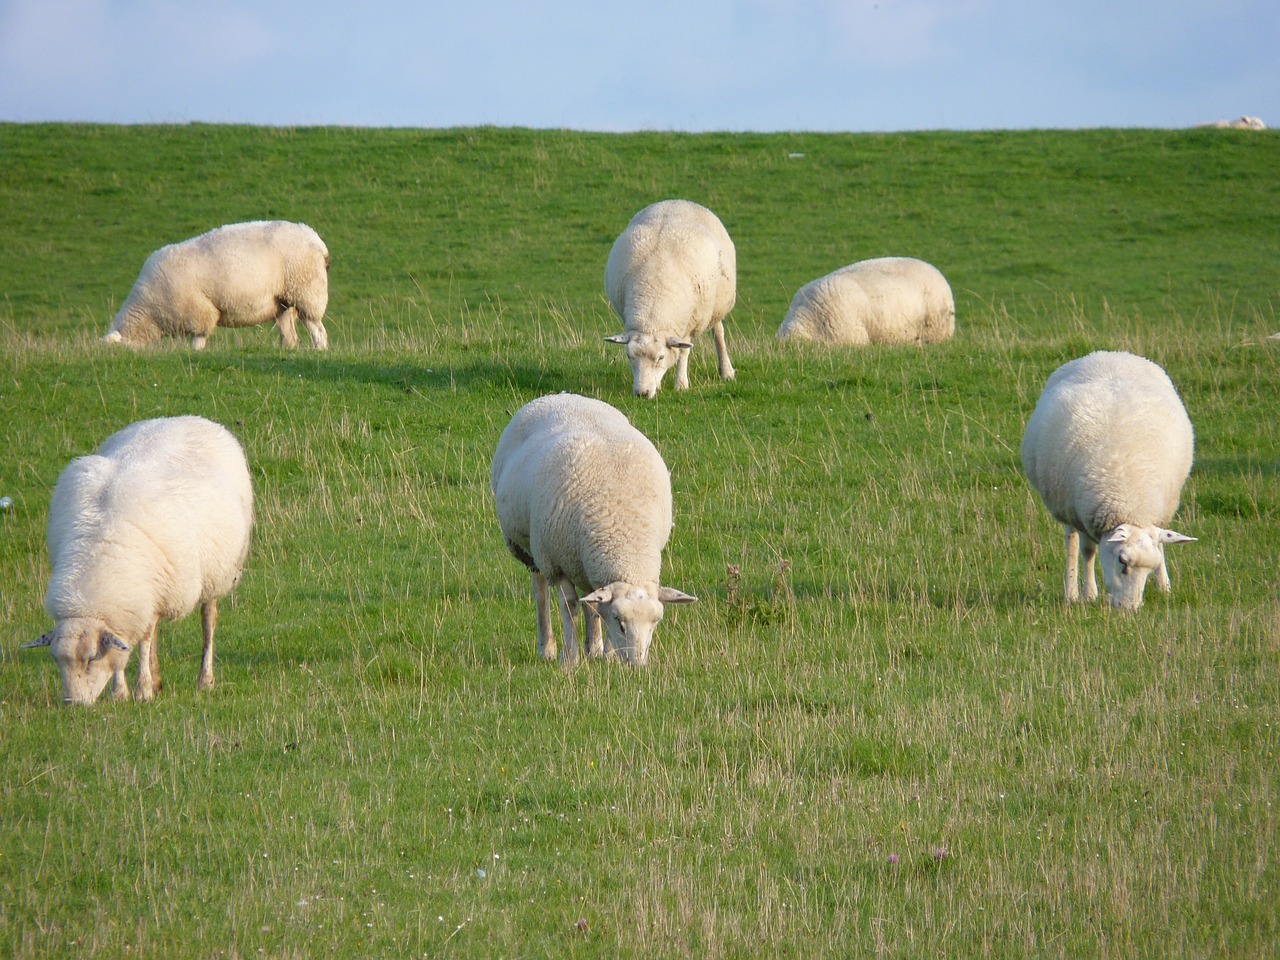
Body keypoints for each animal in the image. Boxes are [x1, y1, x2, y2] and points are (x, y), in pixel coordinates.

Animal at [24, 417, 252, 701]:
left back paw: (204, 679)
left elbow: (142, 643)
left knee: (208, 620)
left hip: (216, 574)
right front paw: (121, 693)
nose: (73, 703)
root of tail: (190, 418)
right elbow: (130, 648)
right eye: (57, 660)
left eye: (92, 658)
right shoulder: (137, 599)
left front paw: (142, 690)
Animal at [103, 221, 330, 350]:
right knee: (289, 333)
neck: (149, 311)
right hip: (283, 301)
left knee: (317, 328)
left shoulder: (199, 310)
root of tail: (316, 238)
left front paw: (195, 352)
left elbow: (199, 337)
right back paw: (286, 350)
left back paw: (320, 349)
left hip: (307, 291)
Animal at [488, 394, 696, 665]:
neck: (625, 536)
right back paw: (547, 647)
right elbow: (570, 608)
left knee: (590, 599)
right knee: (541, 591)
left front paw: (607, 655)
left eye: (655, 623)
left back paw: (594, 648)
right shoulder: (556, 564)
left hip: (582, 560)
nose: (638, 665)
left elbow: (595, 607)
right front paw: (570, 658)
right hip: (534, 550)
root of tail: (560, 395)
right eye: (619, 621)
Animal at [604, 199, 737, 399]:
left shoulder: (689, 324)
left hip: (716, 306)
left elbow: (683, 353)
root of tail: (679, 201)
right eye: (629, 356)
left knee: (718, 332)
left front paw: (681, 384)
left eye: (660, 357)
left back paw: (727, 371)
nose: (642, 394)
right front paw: (658, 385)